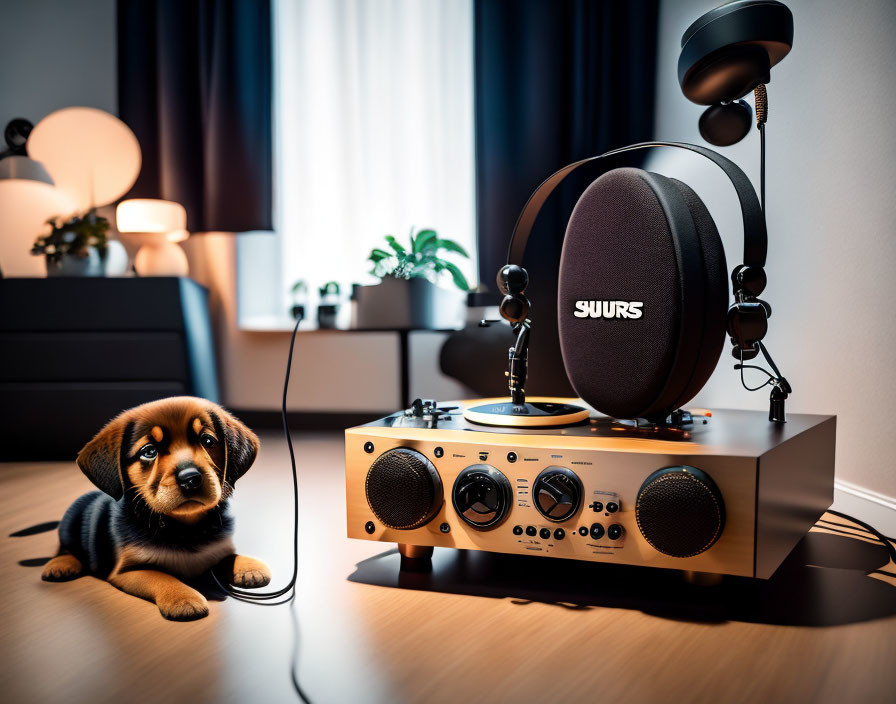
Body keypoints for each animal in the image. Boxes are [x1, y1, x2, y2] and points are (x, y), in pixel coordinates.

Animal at [42, 396, 272, 620]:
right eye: (149, 451)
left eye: (207, 441)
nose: (191, 479)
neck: (186, 528)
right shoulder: (128, 570)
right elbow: (160, 576)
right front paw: (183, 598)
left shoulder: (216, 547)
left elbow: (226, 556)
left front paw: (248, 566)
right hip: (70, 526)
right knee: (64, 548)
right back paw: (60, 564)